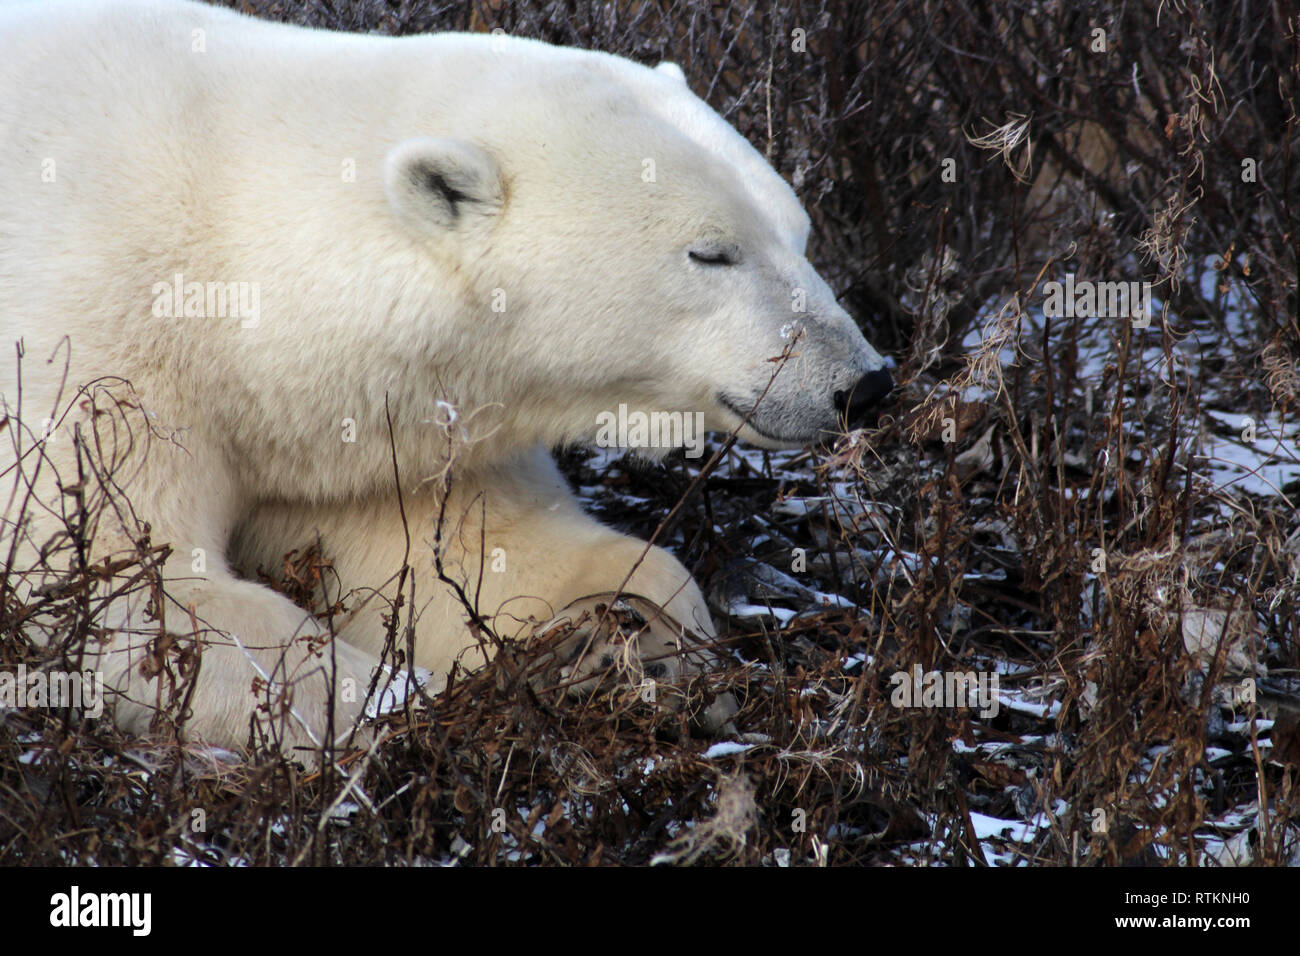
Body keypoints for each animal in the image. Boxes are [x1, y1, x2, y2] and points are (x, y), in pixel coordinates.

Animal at [0, 1, 894, 764]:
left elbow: (473, 555)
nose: (862, 384)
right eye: (711, 252)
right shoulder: (102, 342)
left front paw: (627, 643)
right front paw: (402, 711)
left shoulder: (374, 427)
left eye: (799, 232)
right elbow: (128, 588)